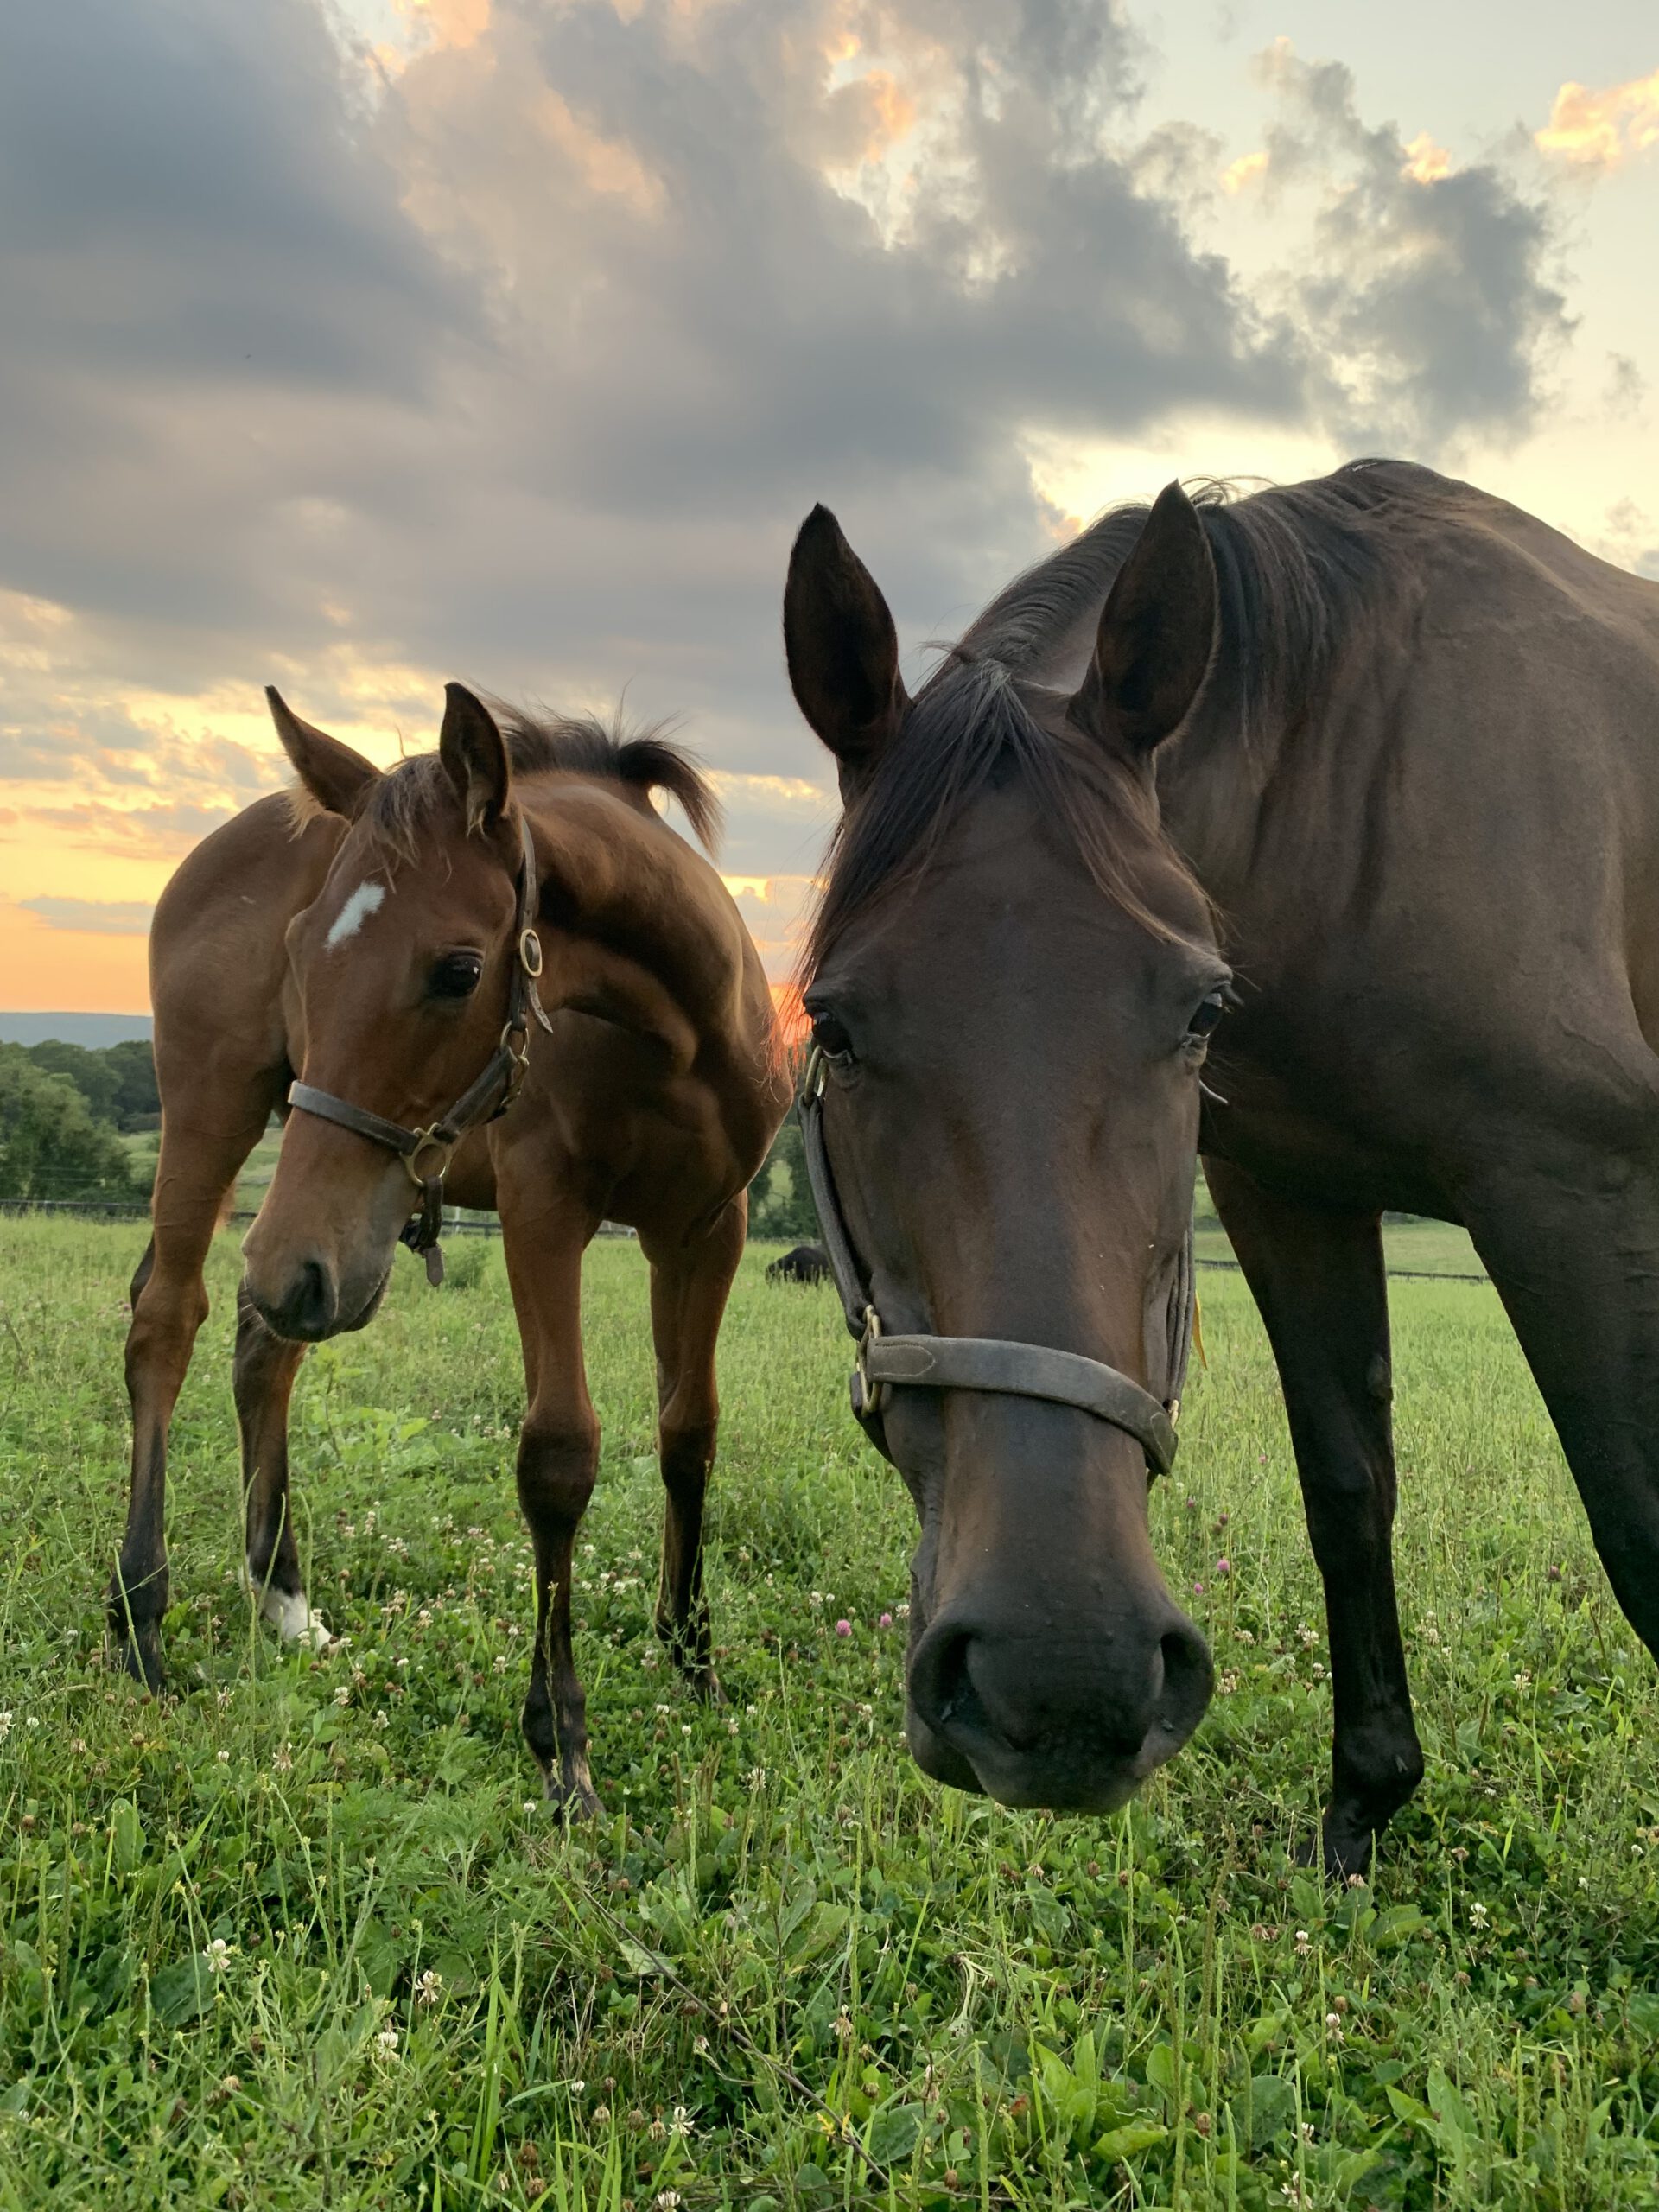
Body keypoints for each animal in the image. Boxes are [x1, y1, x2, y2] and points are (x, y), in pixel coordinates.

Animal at [111, 682, 787, 1812]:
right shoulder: (543, 1211)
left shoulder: (706, 1228)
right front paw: (562, 1743)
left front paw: (693, 1660)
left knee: (262, 1346)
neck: (671, 1038)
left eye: (458, 969)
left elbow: (688, 1433)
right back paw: (138, 1622)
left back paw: (283, 1599)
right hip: (239, 1140)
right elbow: (558, 1454)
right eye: (299, 954)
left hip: (322, 1240)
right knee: (169, 1321)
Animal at [782, 459, 1659, 1874]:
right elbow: (1348, 1495)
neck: (1354, 785)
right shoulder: (1290, 1195)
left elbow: (1639, 1534)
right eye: (837, 1025)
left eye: (1196, 1013)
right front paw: (1366, 1803)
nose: (1063, 1675)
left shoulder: (1572, 1180)